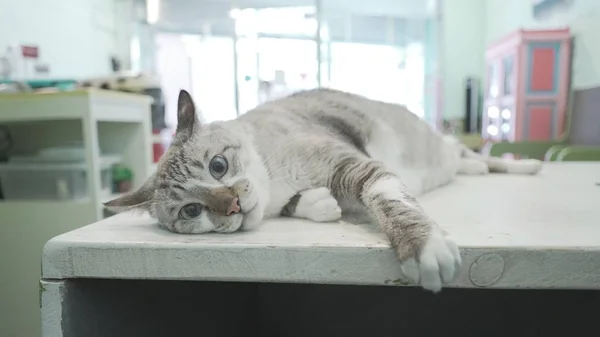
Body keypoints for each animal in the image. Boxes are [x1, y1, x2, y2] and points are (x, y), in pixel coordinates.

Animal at [105, 88, 540, 292]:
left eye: (218, 166)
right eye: (192, 211)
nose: (233, 207)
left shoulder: (352, 166)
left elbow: (389, 199)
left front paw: (424, 248)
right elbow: (305, 203)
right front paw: (321, 205)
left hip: (439, 146)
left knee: (470, 151)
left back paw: (524, 165)